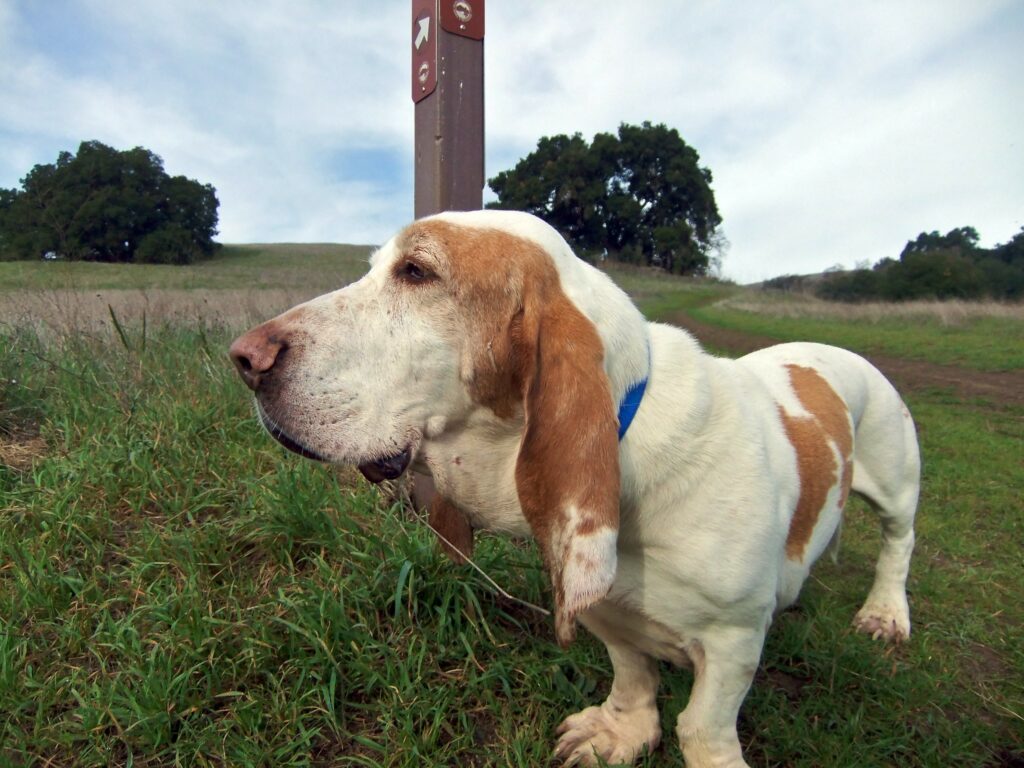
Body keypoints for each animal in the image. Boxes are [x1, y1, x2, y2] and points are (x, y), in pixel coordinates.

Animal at [230, 210, 921, 768]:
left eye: (418, 271)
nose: (244, 358)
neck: (627, 444)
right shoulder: (603, 604)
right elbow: (633, 675)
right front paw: (621, 734)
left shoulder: (734, 638)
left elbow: (703, 726)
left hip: (897, 478)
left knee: (898, 541)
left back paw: (885, 614)